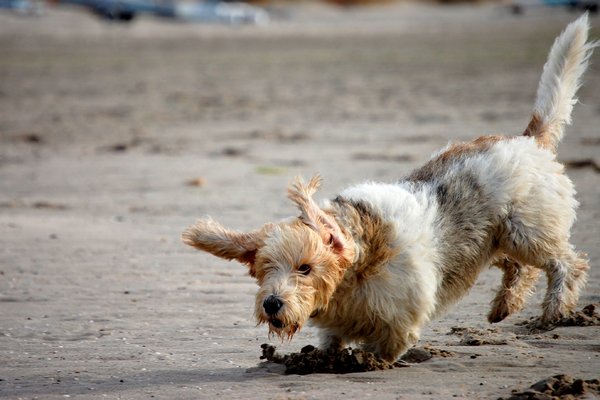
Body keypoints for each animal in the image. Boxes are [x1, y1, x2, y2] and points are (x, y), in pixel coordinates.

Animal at [182, 14, 596, 360]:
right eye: (265, 267)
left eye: (305, 268)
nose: (271, 304)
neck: (356, 271)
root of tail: (526, 140)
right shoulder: (336, 321)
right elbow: (331, 340)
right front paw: (321, 359)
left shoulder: (399, 318)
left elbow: (387, 345)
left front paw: (364, 362)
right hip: (498, 240)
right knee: (521, 269)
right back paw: (504, 306)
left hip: (527, 231)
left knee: (567, 264)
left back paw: (554, 310)